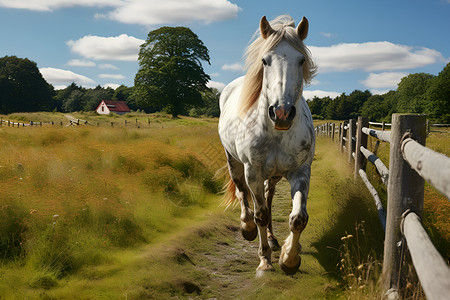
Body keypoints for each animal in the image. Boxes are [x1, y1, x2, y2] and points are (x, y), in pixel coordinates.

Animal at [218, 14, 316, 276]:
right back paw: (248, 228)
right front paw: (264, 261)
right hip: (234, 162)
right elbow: (260, 213)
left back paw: (272, 238)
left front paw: (289, 259)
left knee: (269, 198)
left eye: (301, 59)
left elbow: (298, 218)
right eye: (265, 60)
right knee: (242, 193)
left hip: (273, 175)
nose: (282, 113)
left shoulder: (301, 171)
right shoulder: (253, 171)